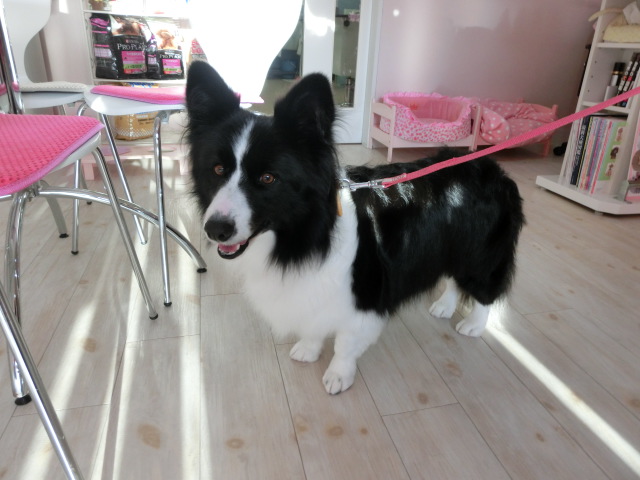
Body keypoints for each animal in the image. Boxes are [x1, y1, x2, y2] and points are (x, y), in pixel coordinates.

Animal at [185, 61, 525, 394]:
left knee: (483, 286)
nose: (216, 229)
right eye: (218, 169)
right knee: (456, 278)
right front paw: (308, 350)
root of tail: (493, 168)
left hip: (481, 250)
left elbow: (345, 345)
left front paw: (338, 376)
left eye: (268, 178)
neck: (302, 232)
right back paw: (443, 306)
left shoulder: (363, 298)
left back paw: (474, 325)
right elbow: (313, 324)